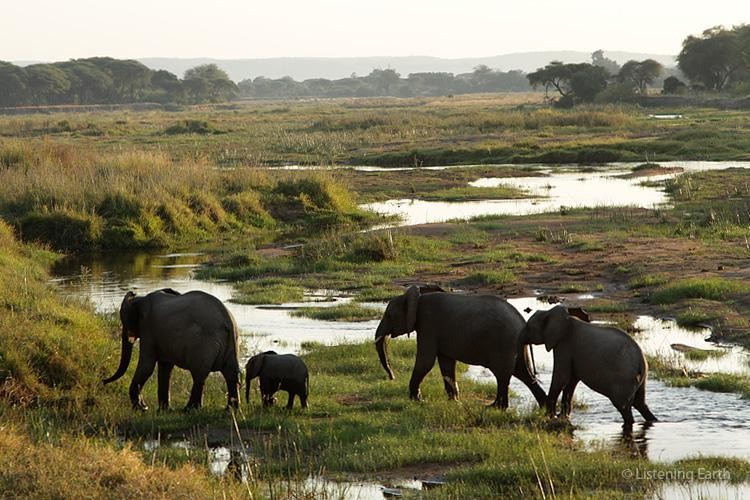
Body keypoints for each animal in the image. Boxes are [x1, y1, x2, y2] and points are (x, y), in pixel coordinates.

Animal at [102, 288, 241, 411]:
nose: (103, 381)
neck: (139, 299)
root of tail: (228, 322)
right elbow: (165, 367)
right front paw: (163, 410)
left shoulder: (147, 327)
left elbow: (147, 366)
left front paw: (141, 409)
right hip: (231, 344)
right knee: (230, 374)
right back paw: (230, 409)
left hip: (203, 344)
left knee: (199, 375)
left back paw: (189, 410)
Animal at [374, 285, 546, 408]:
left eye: (389, 315)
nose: (392, 377)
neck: (416, 297)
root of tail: (523, 322)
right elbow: (446, 363)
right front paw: (454, 401)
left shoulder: (428, 326)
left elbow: (425, 362)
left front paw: (416, 400)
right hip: (515, 346)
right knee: (524, 374)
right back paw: (544, 408)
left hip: (504, 343)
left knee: (503, 376)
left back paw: (495, 407)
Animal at [520, 305, 657, 428]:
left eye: (529, 327)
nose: (536, 375)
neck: (550, 312)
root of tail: (642, 362)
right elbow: (571, 381)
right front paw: (562, 417)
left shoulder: (564, 345)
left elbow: (561, 378)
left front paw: (550, 416)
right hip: (640, 379)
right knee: (640, 403)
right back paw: (653, 421)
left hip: (623, 380)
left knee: (624, 408)